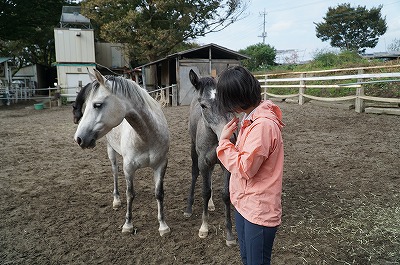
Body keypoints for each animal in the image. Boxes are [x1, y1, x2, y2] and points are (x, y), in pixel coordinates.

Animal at [73, 70, 170, 235]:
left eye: (97, 105)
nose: (79, 139)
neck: (146, 136)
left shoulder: (160, 165)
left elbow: (159, 193)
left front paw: (163, 226)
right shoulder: (128, 168)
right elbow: (130, 194)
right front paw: (128, 225)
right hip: (111, 152)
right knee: (114, 172)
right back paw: (116, 200)